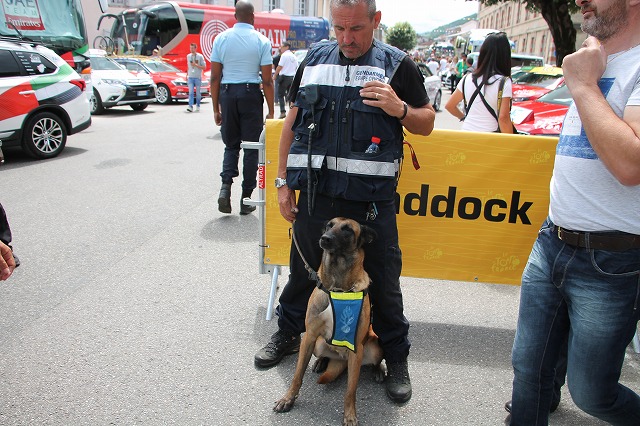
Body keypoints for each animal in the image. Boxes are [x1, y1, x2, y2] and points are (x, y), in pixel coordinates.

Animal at [272, 218, 382, 424]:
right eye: (329, 225)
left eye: (347, 230)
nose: (325, 238)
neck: (338, 288)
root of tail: (341, 359)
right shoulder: (309, 336)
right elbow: (297, 375)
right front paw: (288, 399)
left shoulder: (356, 346)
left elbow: (350, 390)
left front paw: (349, 415)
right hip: (318, 344)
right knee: (323, 353)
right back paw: (320, 362)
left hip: (374, 348)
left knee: (376, 361)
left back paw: (379, 370)